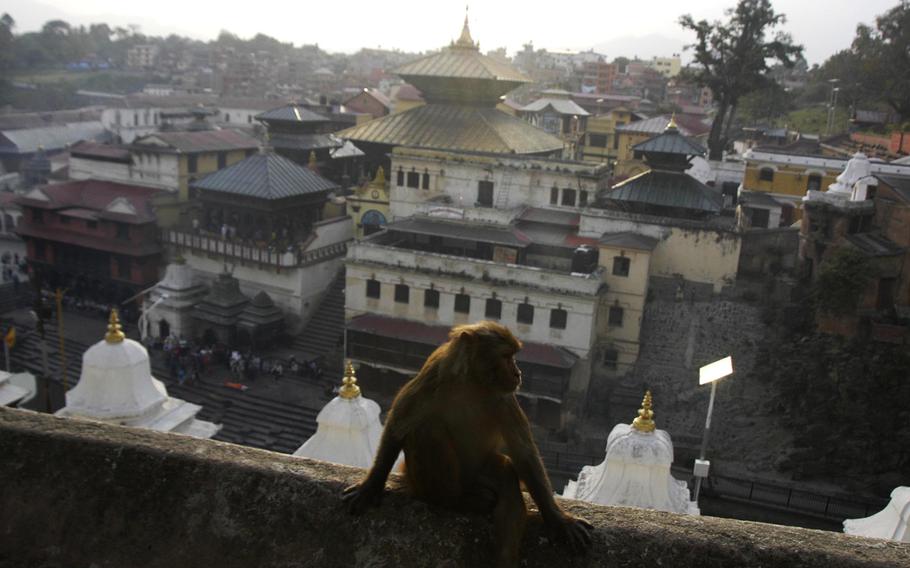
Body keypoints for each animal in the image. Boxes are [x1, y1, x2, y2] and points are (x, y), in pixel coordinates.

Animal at [346, 322, 596, 564]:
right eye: (506, 356)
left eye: (514, 357)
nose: (518, 373)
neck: (471, 383)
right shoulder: (432, 377)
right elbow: (399, 424)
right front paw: (371, 486)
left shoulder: (504, 397)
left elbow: (523, 453)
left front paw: (559, 520)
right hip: (425, 480)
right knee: (426, 431)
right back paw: (457, 500)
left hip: (479, 472)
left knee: (505, 474)